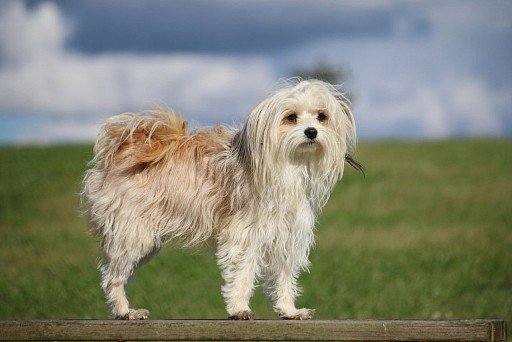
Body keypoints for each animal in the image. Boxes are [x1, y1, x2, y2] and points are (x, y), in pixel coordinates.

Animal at [82, 79, 362, 320]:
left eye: (322, 116)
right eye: (291, 117)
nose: (312, 131)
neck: (288, 168)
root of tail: (124, 149)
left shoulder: (286, 237)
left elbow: (283, 279)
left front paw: (289, 310)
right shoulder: (245, 235)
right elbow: (243, 275)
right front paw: (239, 308)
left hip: (144, 242)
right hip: (133, 236)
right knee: (112, 277)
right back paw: (124, 311)